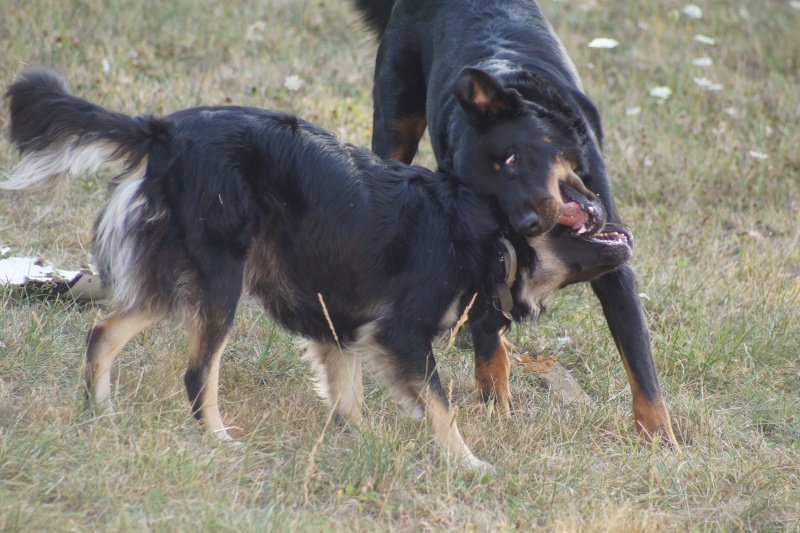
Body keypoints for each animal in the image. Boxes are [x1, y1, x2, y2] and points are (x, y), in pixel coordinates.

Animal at [1, 69, 632, 470]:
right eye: (566, 193)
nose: (598, 197)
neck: (486, 231)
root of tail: (164, 131)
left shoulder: (342, 321)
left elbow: (348, 394)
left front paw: (361, 440)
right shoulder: (399, 333)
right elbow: (440, 405)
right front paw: (469, 463)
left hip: (181, 279)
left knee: (103, 333)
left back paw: (101, 414)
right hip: (220, 282)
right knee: (197, 374)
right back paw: (219, 440)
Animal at [354, 0, 680, 444]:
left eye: (512, 159)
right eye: (489, 197)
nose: (526, 224)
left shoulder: (616, 270)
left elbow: (640, 363)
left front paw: (661, 439)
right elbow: (488, 337)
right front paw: (495, 403)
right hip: (394, 125)